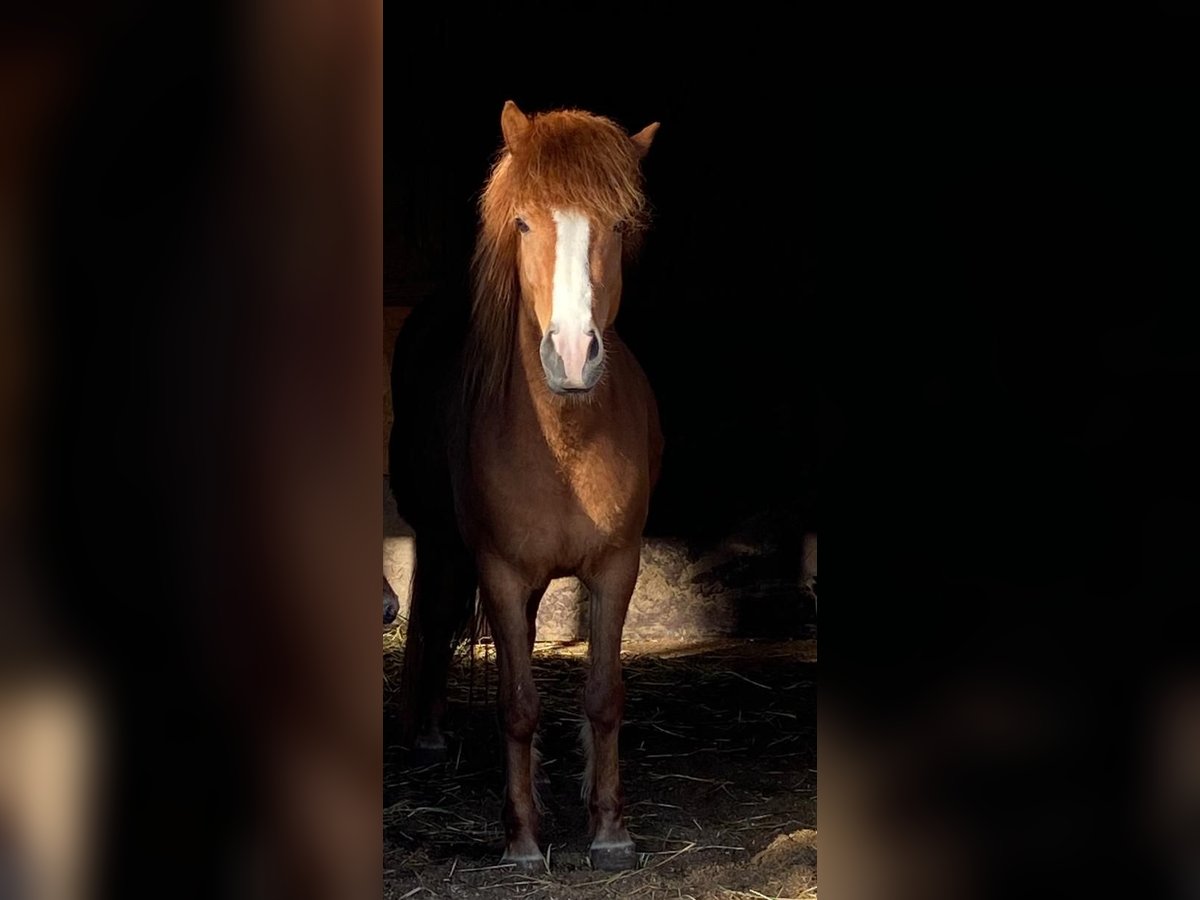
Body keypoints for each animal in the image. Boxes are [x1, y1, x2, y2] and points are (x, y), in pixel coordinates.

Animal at [388, 100, 662, 873]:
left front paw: (608, 829)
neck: (563, 442)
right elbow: (516, 704)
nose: (571, 354)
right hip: (444, 543)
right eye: (523, 223)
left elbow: (603, 695)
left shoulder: (616, 567)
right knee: (431, 615)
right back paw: (426, 735)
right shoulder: (501, 573)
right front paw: (522, 841)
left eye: (619, 225)